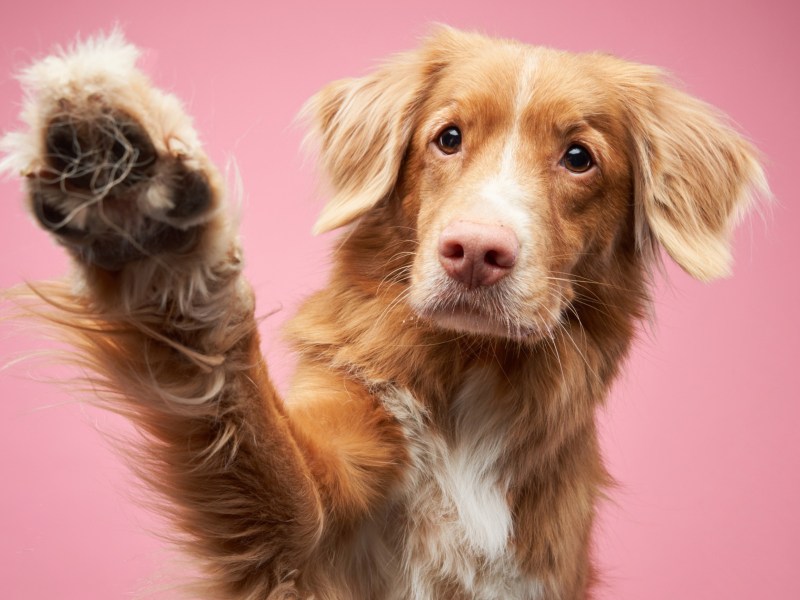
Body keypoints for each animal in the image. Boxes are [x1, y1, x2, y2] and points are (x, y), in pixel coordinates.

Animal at [1, 27, 768, 600]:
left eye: (579, 158)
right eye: (448, 137)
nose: (475, 252)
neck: (471, 379)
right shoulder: (306, 535)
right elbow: (239, 413)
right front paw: (142, 221)